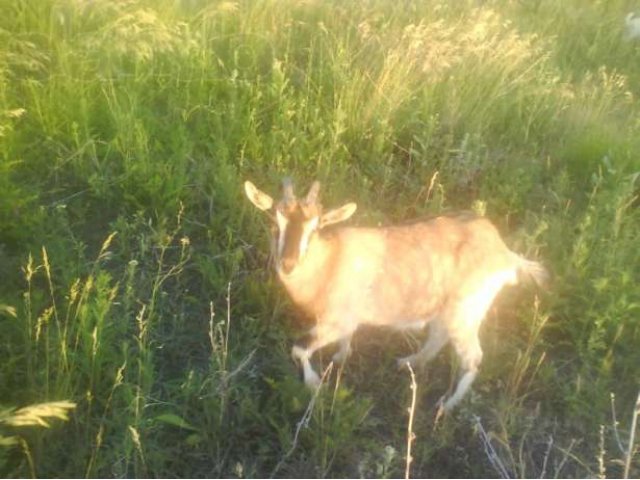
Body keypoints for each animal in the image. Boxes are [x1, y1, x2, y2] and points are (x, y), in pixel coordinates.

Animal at [242, 178, 548, 410]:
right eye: (274, 221)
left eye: (316, 227)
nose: (288, 264)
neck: (330, 260)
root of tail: (505, 253)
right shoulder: (345, 321)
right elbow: (345, 341)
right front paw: (340, 358)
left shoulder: (335, 321)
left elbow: (299, 349)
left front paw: (314, 385)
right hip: (448, 309)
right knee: (439, 336)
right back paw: (408, 363)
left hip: (467, 310)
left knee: (472, 357)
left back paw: (445, 407)